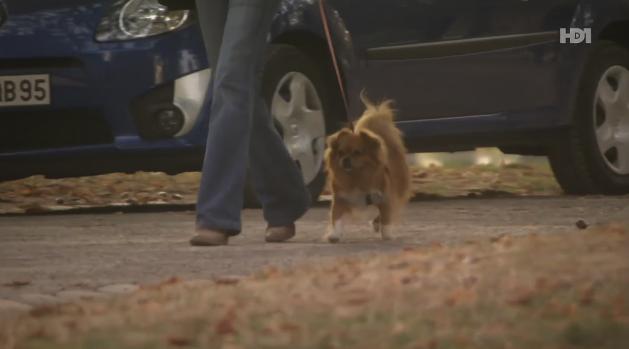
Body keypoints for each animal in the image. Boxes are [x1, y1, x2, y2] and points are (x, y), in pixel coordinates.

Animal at [324, 95, 412, 242]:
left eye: (357, 152)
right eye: (340, 153)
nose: (345, 159)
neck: (356, 176)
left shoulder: (384, 197)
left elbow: (386, 218)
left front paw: (387, 234)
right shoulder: (340, 199)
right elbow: (336, 217)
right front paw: (334, 234)